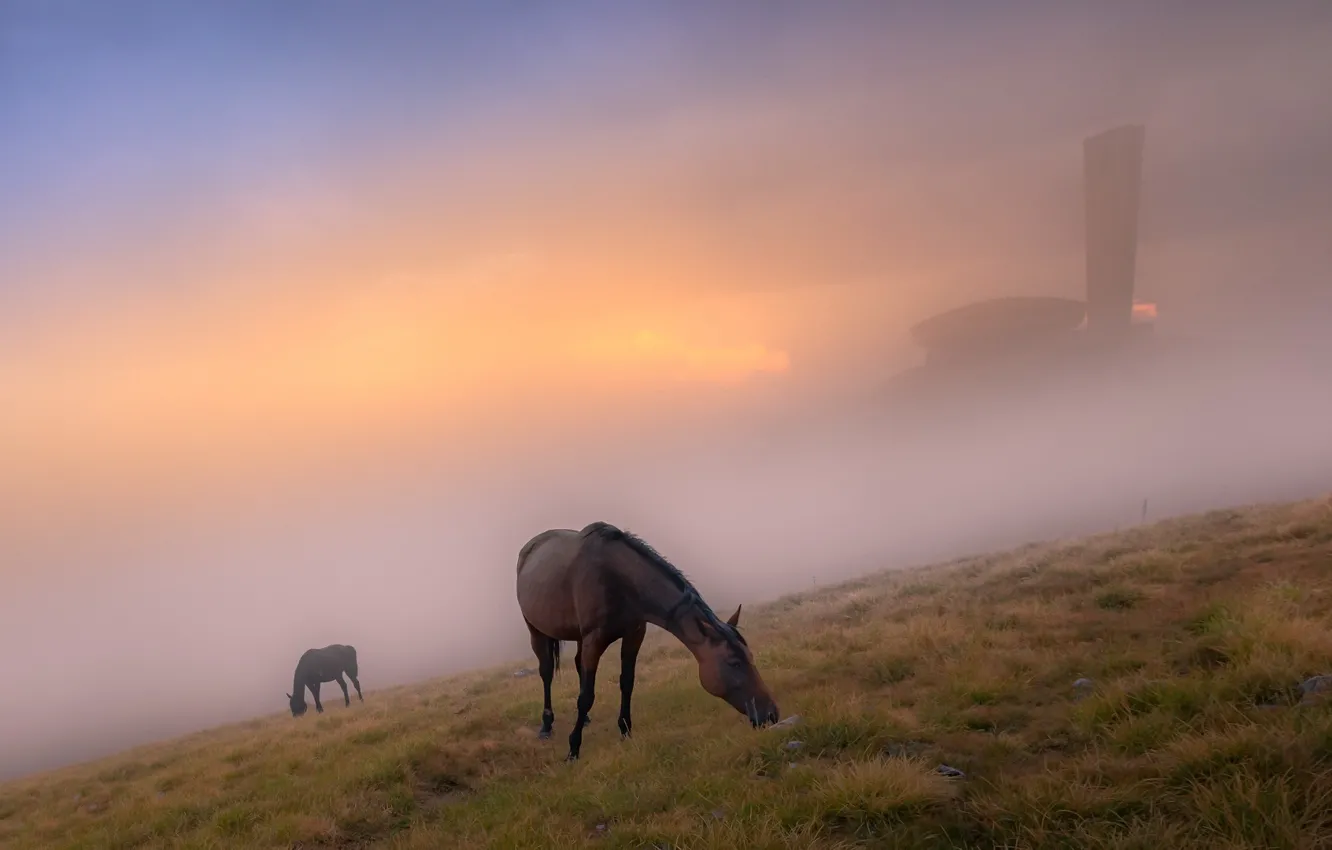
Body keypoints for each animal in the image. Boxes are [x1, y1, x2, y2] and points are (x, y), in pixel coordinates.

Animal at [515, 521, 779, 761]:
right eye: (734, 663)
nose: (771, 714)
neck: (617, 578)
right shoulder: (594, 639)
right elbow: (586, 695)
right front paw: (573, 747)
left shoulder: (634, 633)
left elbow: (627, 683)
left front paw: (625, 730)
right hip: (535, 629)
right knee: (547, 672)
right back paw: (546, 725)